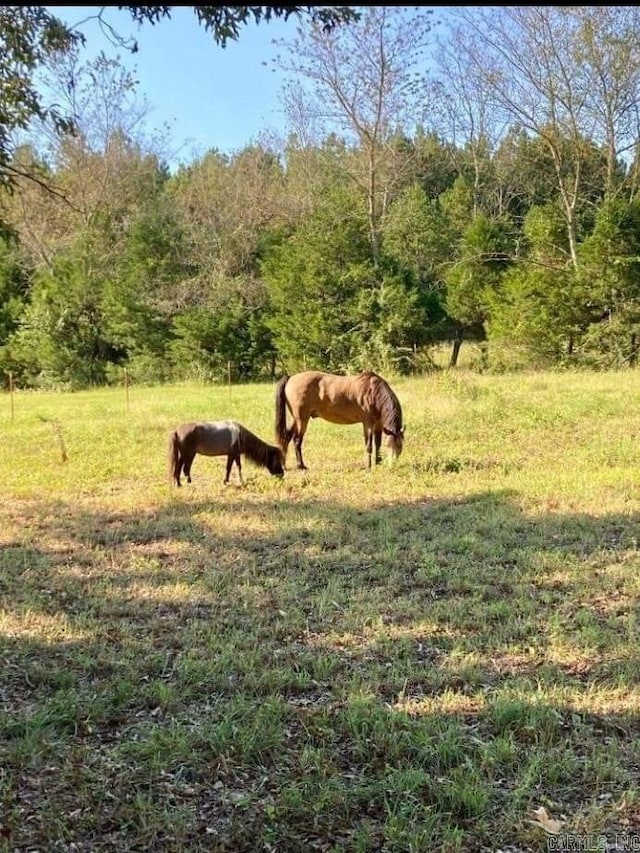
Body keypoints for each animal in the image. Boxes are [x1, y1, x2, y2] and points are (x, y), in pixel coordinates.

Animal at [276, 370, 404, 470]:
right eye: (389, 446)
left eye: (400, 446)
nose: (392, 465)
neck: (373, 392)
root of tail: (291, 377)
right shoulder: (367, 423)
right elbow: (369, 445)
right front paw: (368, 466)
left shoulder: (378, 424)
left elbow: (377, 444)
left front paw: (378, 462)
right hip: (302, 419)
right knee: (297, 440)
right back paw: (301, 466)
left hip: (296, 419)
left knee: (286, 437)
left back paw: (284, 465)